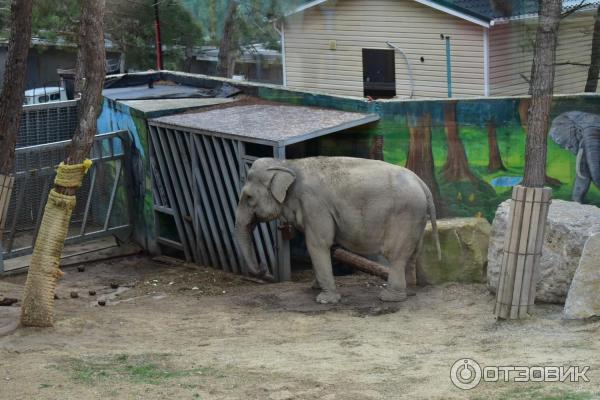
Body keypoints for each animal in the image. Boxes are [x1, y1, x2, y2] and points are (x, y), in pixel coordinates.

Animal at [234, 156, 440, 304]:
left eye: (248, 197)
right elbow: (327, 245)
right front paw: (315, 288)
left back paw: (389, 297)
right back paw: (409, 291)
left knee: (396, 255)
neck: (287, 164)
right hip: (416, 218)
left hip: (404, 215)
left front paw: (325, 300)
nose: (263, 268)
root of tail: (422, 183)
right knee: (412, 253)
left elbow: (317, 244)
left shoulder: (314, 204)